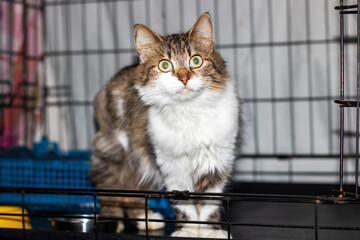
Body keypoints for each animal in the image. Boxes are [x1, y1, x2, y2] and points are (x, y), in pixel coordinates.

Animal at [89, 12, 242, 238]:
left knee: (131, 194)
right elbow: (184, 204)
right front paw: (188, 231)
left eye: (195, 61)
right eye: (165, 65)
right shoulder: (171, 165)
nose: (184, 78)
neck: (189, 112)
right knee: (111, 191)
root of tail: (107, 86)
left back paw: (147, 222)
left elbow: (208, 204)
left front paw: (209, 232)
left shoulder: (216, 161)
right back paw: (114, 223)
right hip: (116, 153)